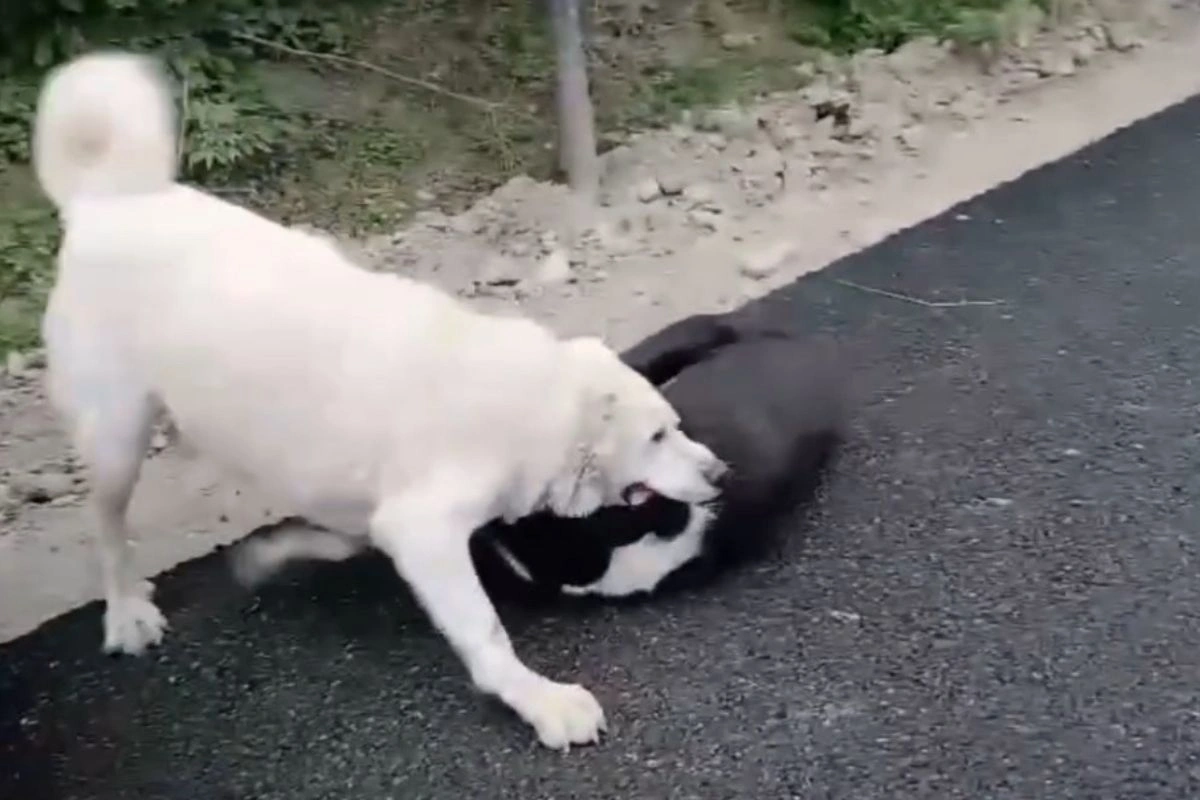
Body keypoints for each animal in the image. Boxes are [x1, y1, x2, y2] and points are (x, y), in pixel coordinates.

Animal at [30, 53, 720, 753]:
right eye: (656, 437)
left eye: (674, 427)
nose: (719, 471)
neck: (537, 405)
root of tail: (106, 202)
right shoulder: (424, 528)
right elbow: (485, 630)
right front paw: (541, 700)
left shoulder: (367, 505)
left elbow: (334, 538)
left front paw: (273, 555)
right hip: (116, 435)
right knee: (106, 522)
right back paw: (126, 611)